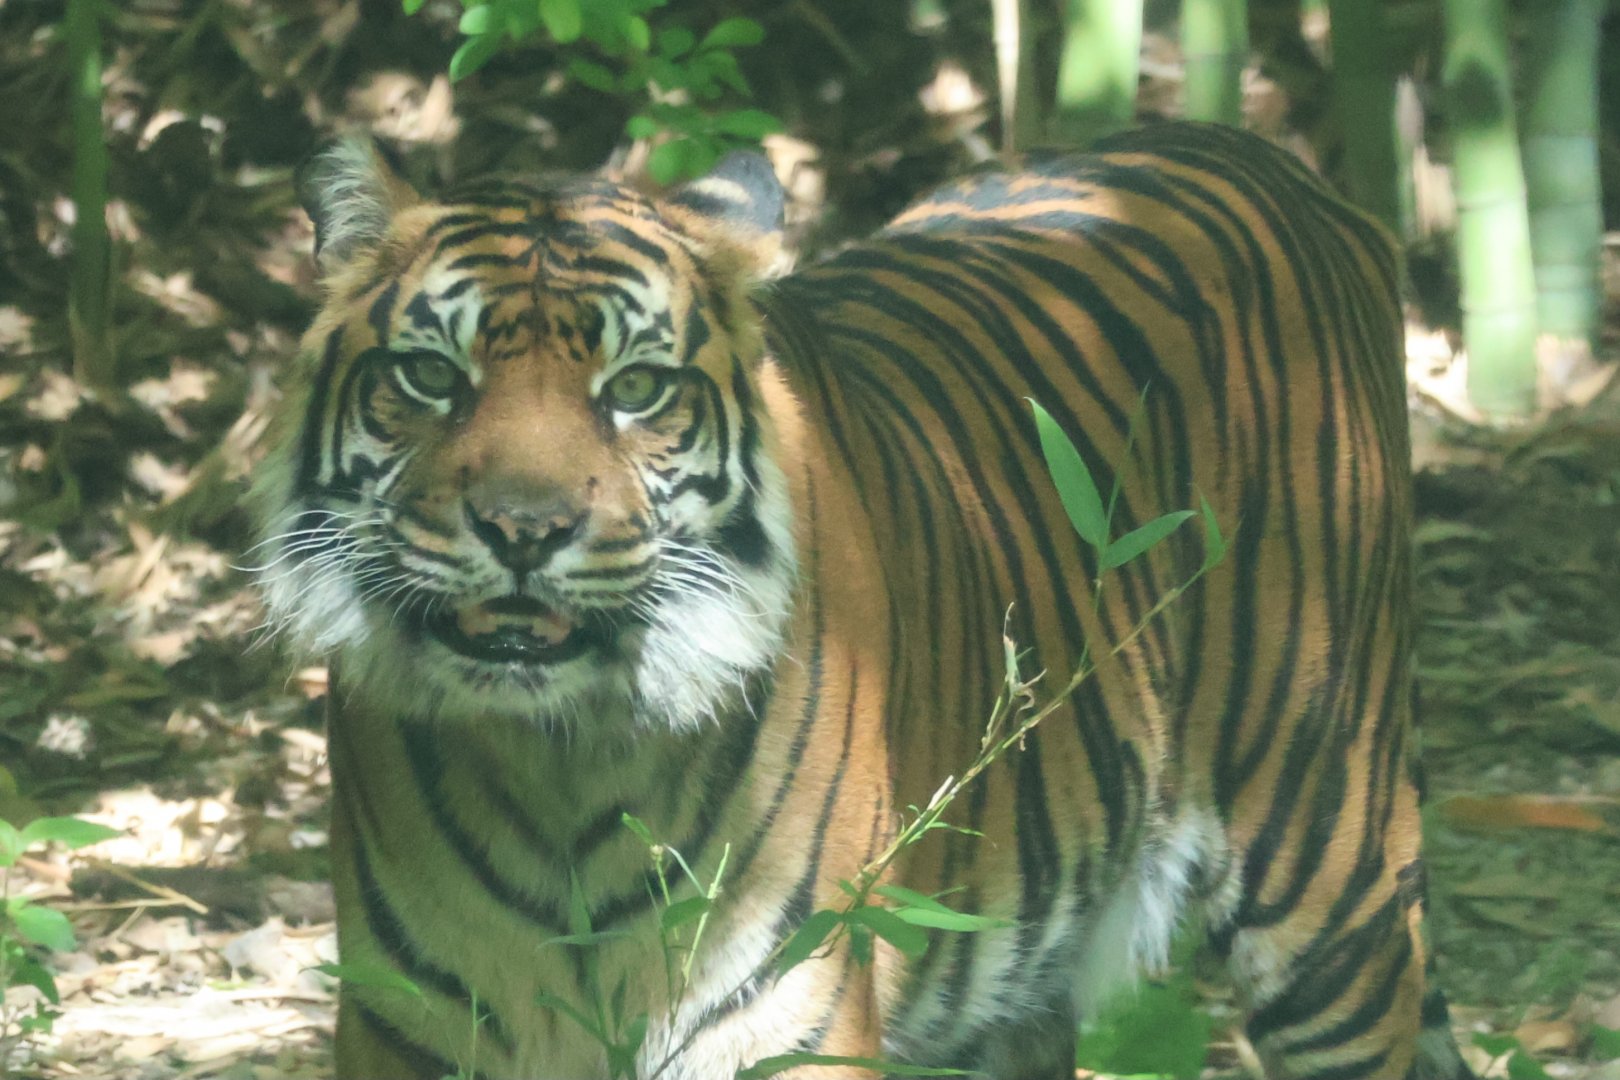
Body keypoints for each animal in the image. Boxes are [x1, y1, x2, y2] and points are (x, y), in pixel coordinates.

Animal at [251, 121, 1475, 1079]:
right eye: (430, 376)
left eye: (636, 387)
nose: (524, 529)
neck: (561, 755)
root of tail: (1285, 166)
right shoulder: (406, 1028)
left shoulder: (786, 1015)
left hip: (1330, 876)